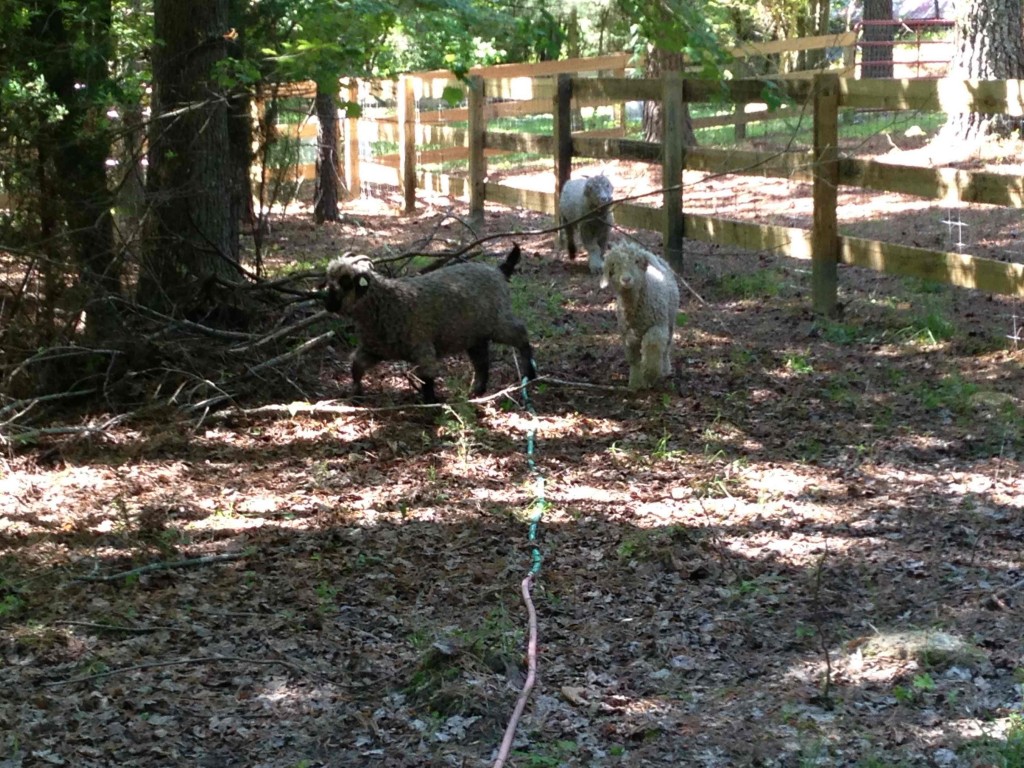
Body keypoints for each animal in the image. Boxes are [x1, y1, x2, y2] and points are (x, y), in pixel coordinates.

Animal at [598, 241, 679, 391]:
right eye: (614, 264)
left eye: (636, 261)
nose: (626, 279)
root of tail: (658, 258)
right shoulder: (628, 335)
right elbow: (634, 359)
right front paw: (635, 382)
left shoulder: (658, 326)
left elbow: (653, 344)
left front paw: (649, 374)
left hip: (670, 320)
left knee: (665, 348)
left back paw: (665, 369)